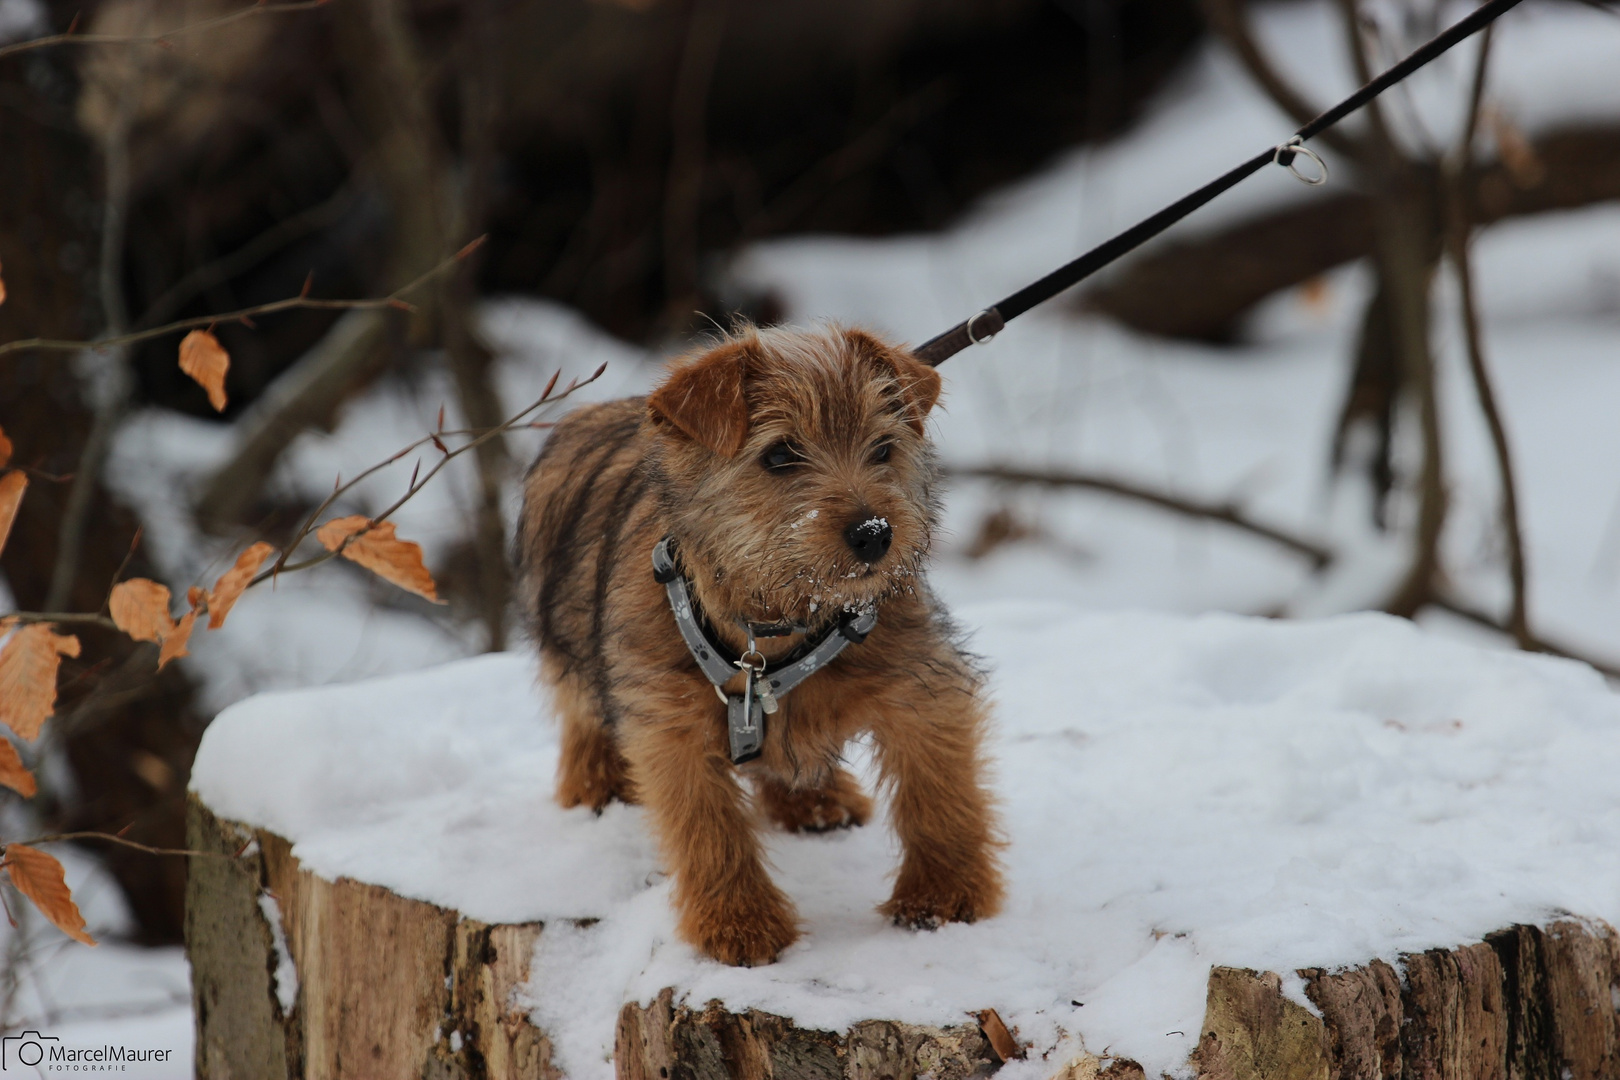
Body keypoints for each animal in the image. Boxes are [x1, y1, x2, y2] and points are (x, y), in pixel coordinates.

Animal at [515, 325, 997, 965]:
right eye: (780, 455)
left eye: (883, 448)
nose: (875, 535)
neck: (779, 622)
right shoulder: (670, 727)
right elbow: (708, 829)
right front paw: (739, 925)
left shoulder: (922, 687)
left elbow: (939, 792)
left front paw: (943, 894)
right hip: (567, 635)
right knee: (581, 711)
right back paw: (596, 785)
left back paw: (814, 801)